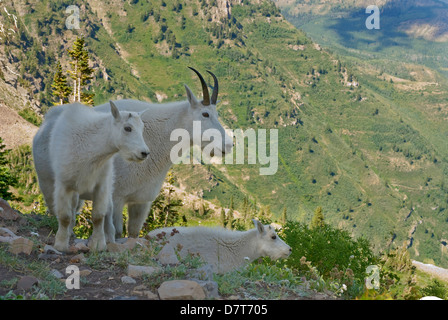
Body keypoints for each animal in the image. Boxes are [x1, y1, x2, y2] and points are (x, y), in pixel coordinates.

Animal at [37, 101, 149, 251]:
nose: (144, 153)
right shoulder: (64, 184)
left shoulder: (101, 184)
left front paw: (98, 245)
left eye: (142, 128)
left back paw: (110, 238)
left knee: (108, 210)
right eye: (127, 128)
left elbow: (98, 216)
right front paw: (60, 244)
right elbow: (65, 216)